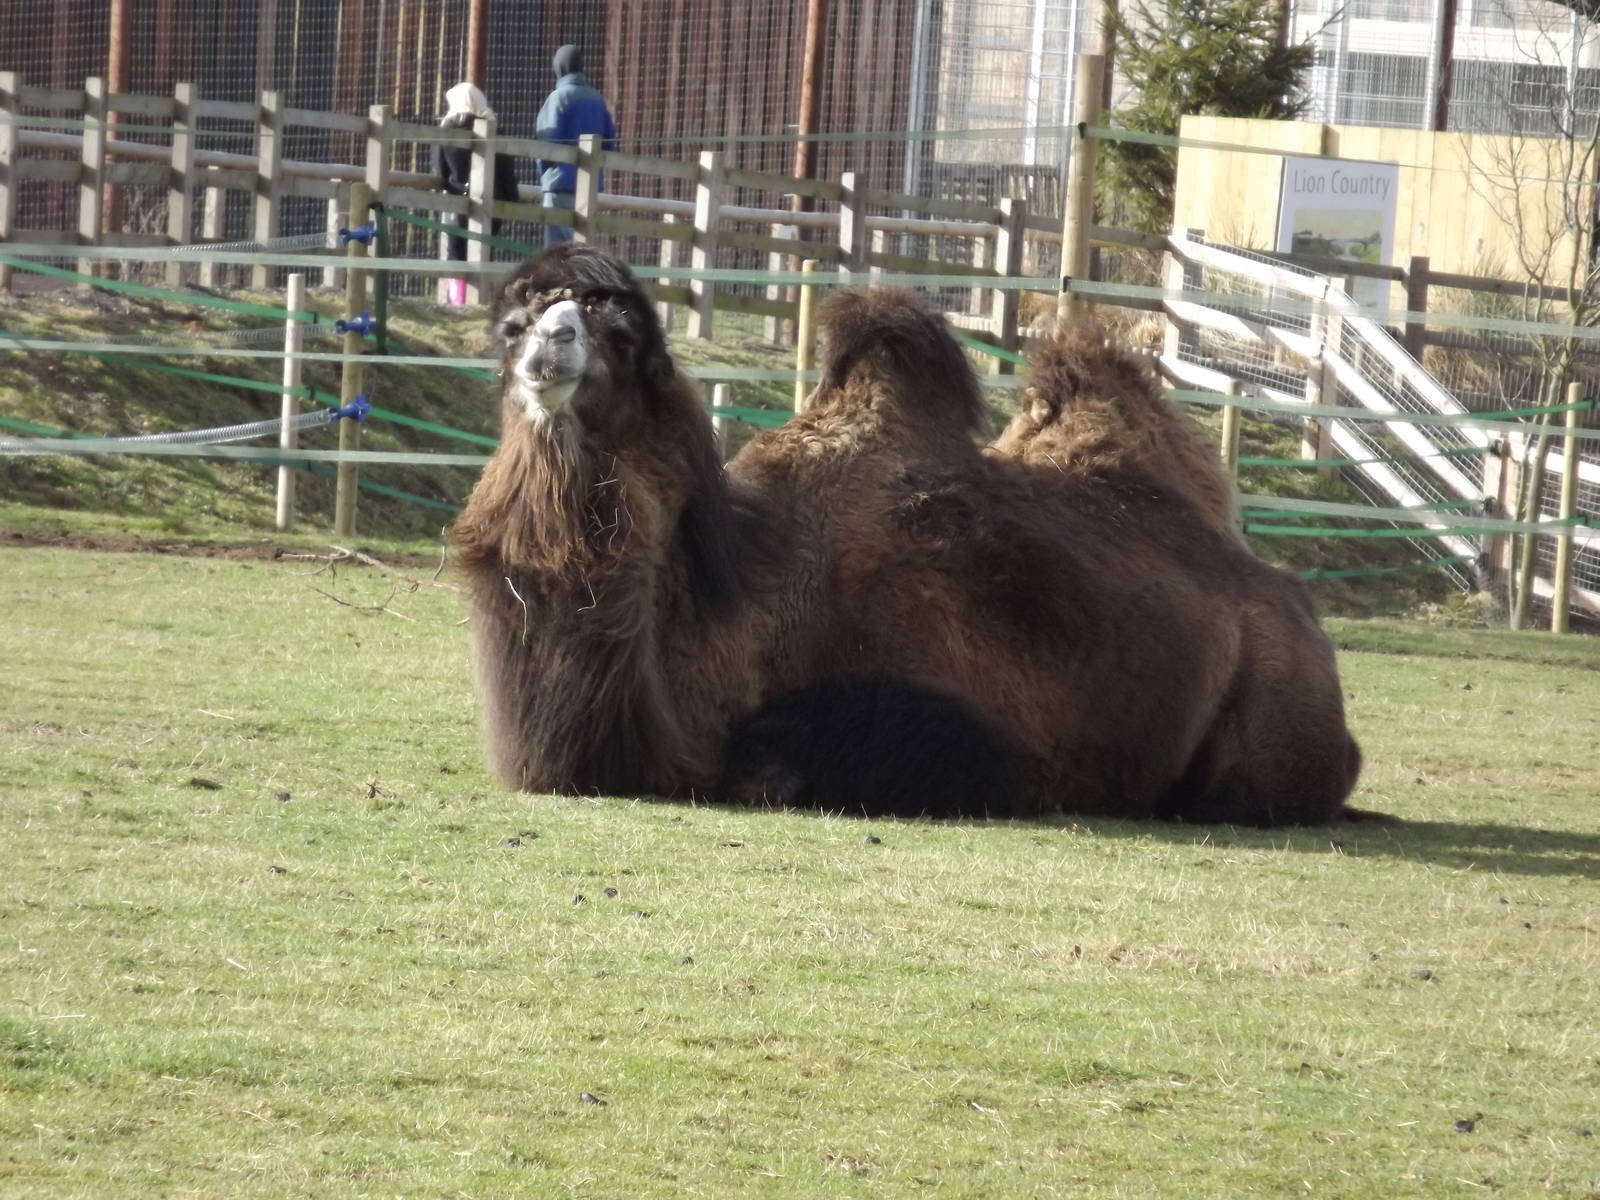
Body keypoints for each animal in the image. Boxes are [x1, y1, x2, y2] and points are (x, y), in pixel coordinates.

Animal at [454, 245, 1365, 825]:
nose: (550, 342)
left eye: (622, 333)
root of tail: (1286, 592)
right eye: (514, 323)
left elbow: (772, 764)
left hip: (1276, 708)